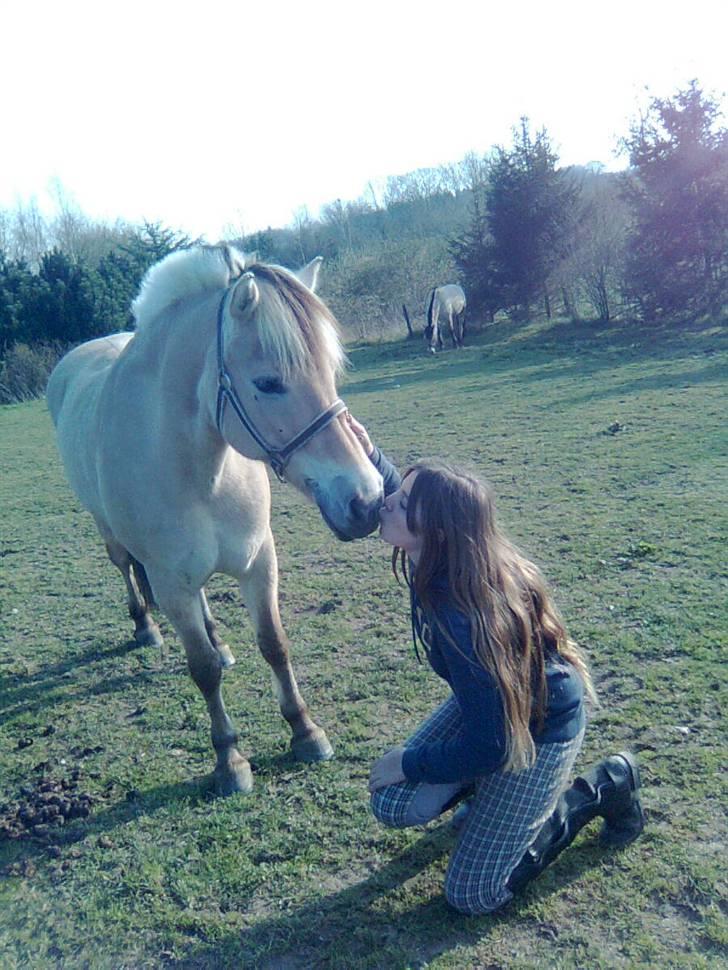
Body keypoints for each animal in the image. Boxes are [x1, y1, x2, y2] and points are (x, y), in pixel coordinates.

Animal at [47, 242, 384, 796]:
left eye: (330, 374)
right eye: (268, 383)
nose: (368, 500)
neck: (199, 468)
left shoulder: (259, 562)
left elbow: (274, 644)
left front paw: (305, 731)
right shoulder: (170, 583)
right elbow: (202, 670)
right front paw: (229, 760)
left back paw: (220, 639)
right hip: (111, 533)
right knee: (125, 568)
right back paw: (145, 628)